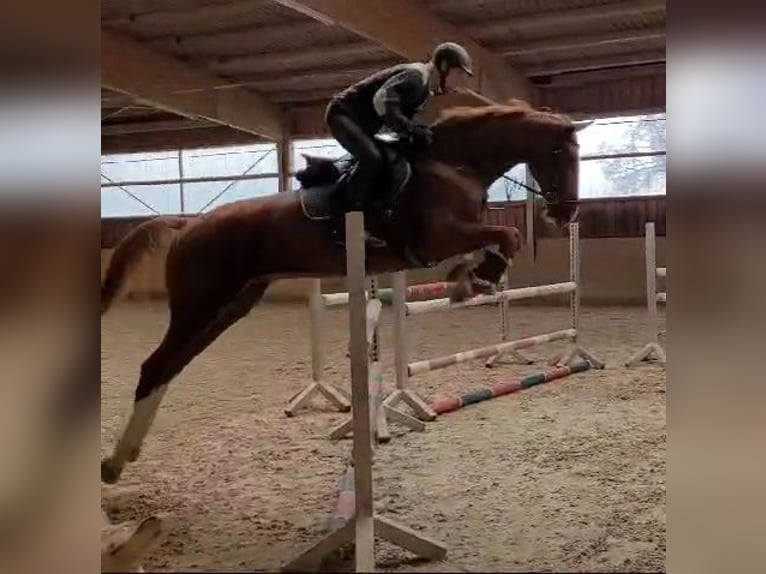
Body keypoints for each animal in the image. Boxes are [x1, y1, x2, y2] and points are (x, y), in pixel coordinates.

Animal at [99, 100, 584, 486]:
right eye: (561, 153)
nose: (566, 214)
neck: (453, 165)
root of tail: (188, 224)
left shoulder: (457, 234)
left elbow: (500, 241)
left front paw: (470, 278)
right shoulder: (438, 238)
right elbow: (507, 237)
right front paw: (474, 280)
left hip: (231, 306)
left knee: (170, 367)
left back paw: (126, 455)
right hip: (199, 304)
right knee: (156, 365)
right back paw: (114, 462)